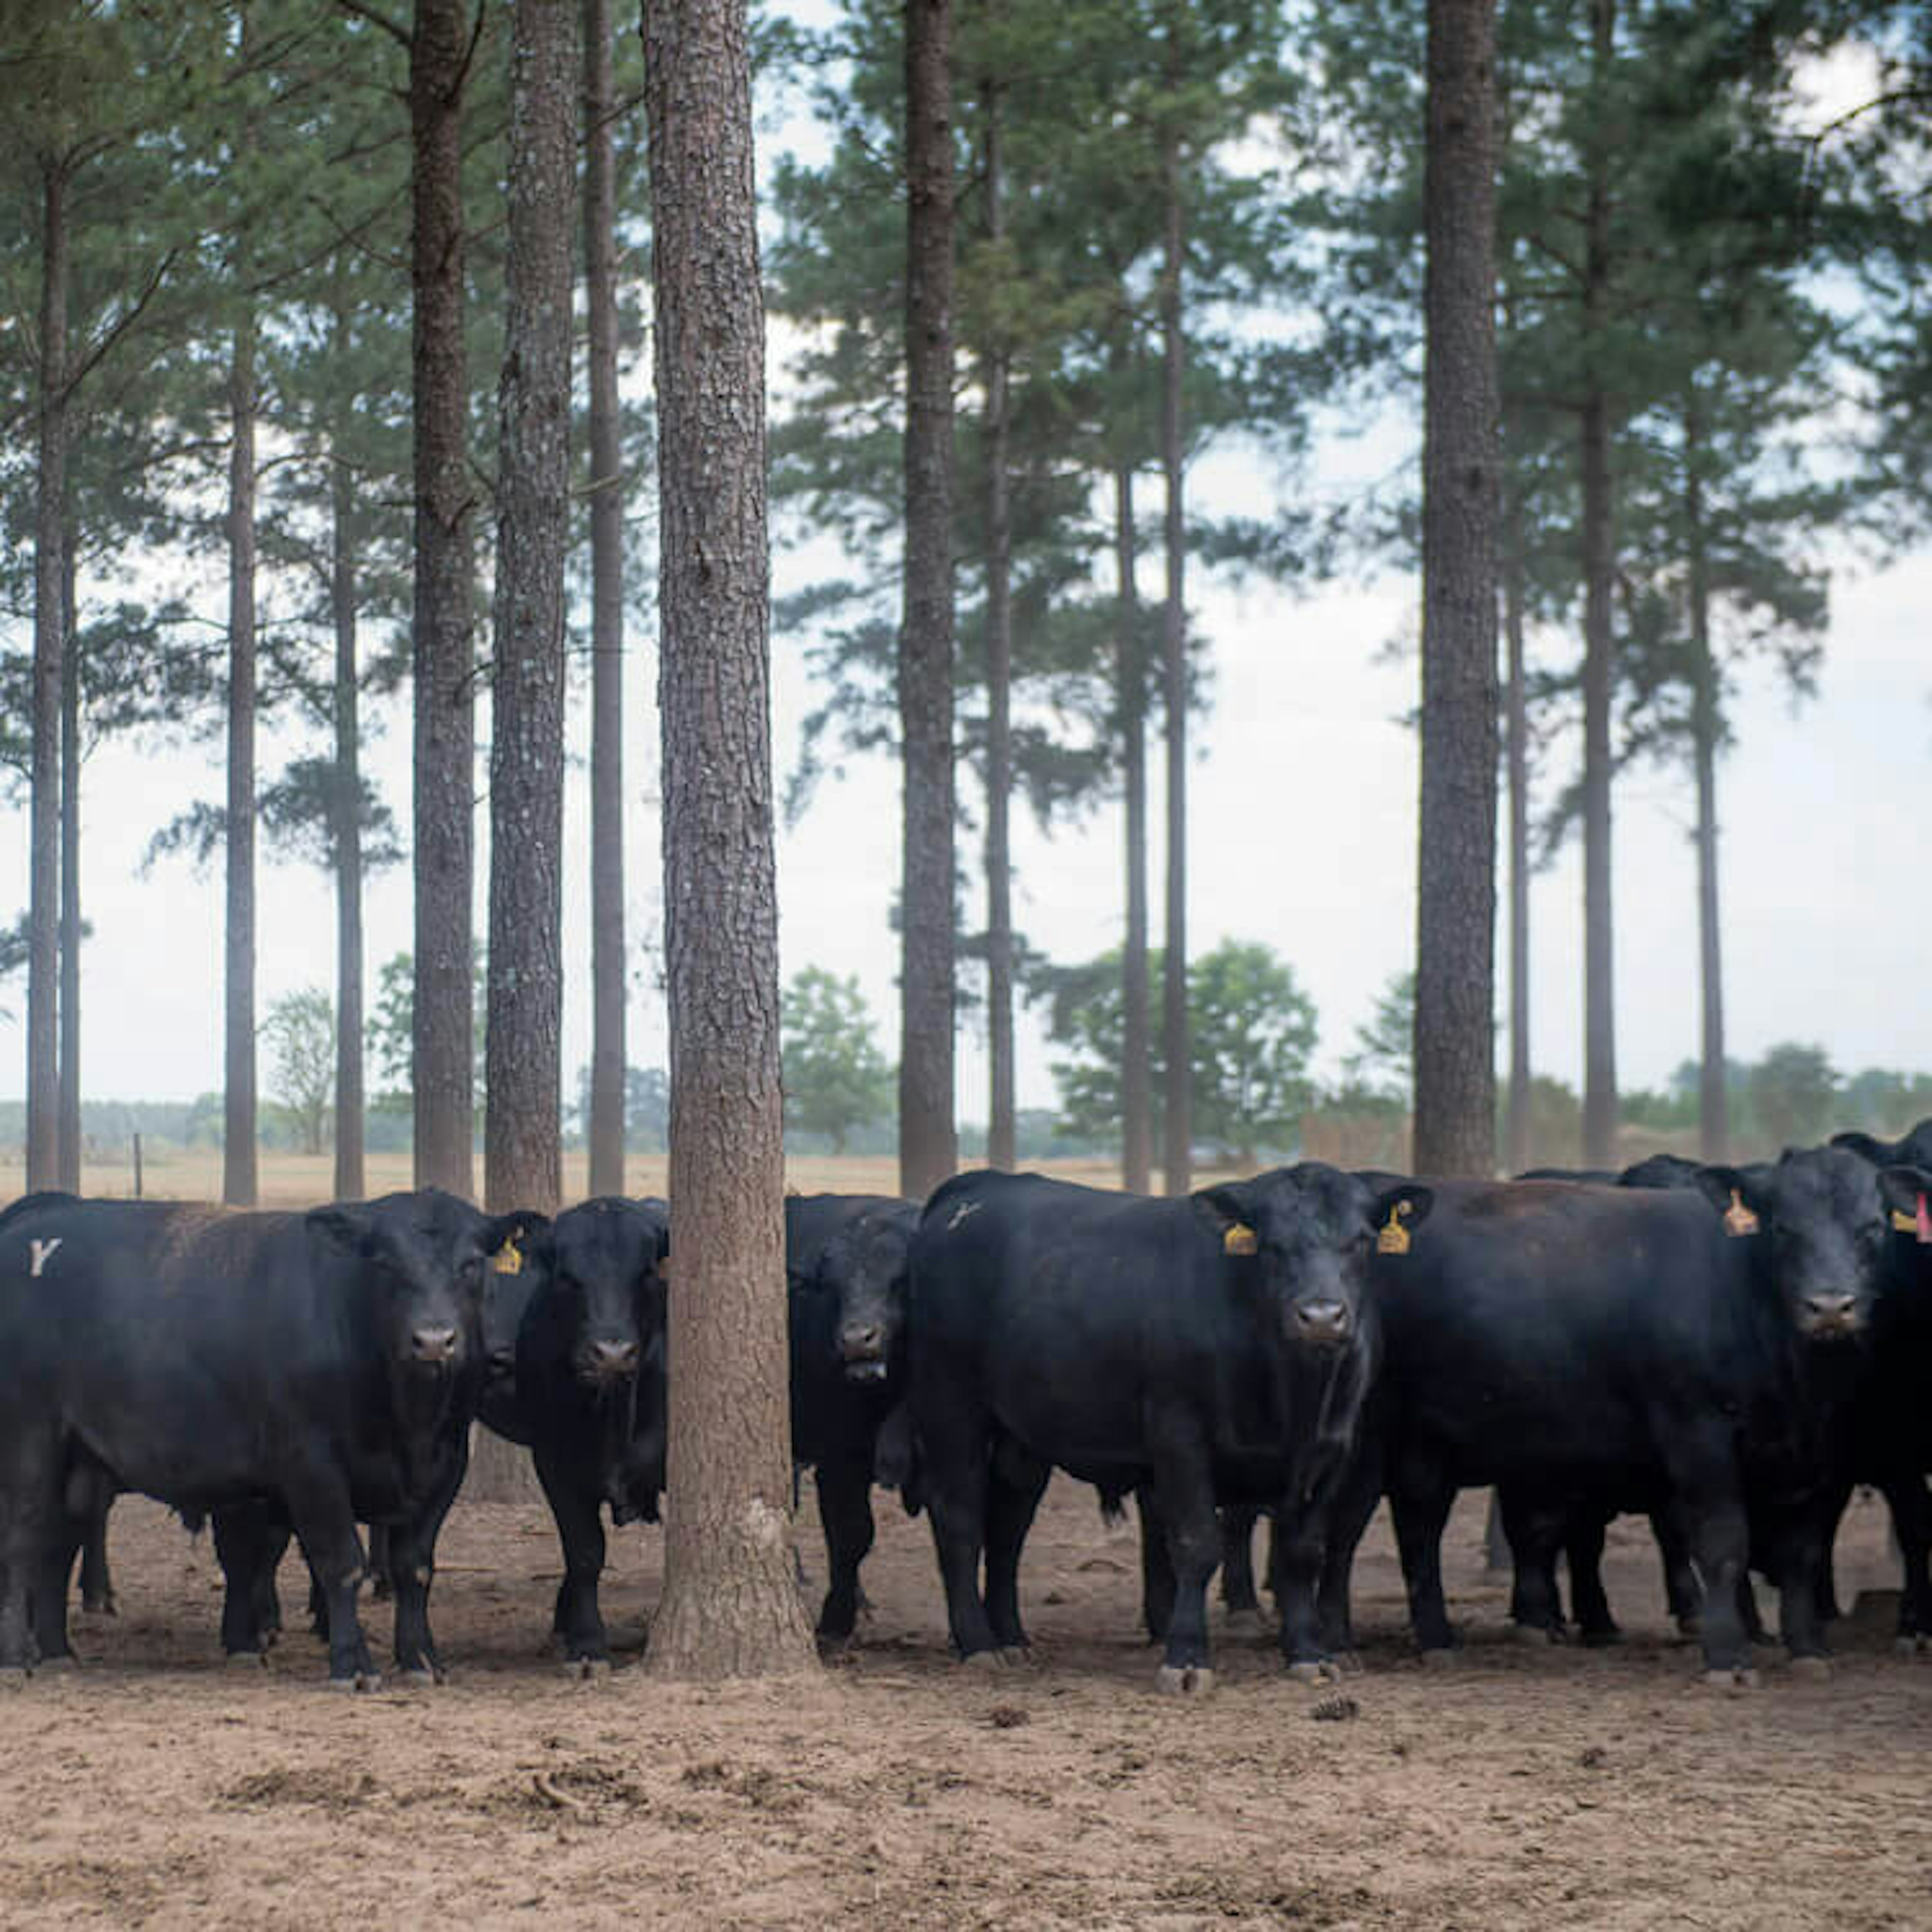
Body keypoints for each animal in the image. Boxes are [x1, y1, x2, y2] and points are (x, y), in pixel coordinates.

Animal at [0, 1182, 533, 1684]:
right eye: (384, 1262)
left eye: (471, 1264)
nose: (434, 1341)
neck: (407, 1423)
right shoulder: (311, 1467)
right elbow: (341, 1563)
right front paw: (352, 1663)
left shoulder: (446, 1466)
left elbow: (414, 1567)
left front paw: (421, 1659)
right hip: (29, 1442)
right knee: (22, 1541)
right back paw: (15, 1656)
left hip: (80, 1464)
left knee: (57, 1547)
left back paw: (57, 1651)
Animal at [784, 1190, 919, 1646]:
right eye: (832, 1286)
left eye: (900, 1280)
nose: (857, 1340)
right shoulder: (839, 1458)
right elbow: (852, 1532)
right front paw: (835, 1618)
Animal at [900, 1159, 1422, 1692]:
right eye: (1273, 1244)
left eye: (1361, 1240)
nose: (1321, 1316)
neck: (1290, 1391)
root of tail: (980, 1186)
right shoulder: (1180, 1437)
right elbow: (1197, 1545)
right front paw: (1187, 1658)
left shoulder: (1334, 1448)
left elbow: (1301, 1550)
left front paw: (1309, 1654)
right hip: (951, 1407)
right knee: (960, 1520)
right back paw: (978, 1643)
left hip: (1020, 1440)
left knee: (1008, 1528)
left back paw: (1011, 1639)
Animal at [1321, 1151, 1924, 1684]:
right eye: (1783, 1227)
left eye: (1872, 1229)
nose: (1830, 1306)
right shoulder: (1698, 1437)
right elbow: (1722, 1543)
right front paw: (1727, 1656)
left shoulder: (1812, 1454)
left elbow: (1803, 1552)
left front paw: (1807, 1650)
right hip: (1366, 1445)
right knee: (1345, 1532)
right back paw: (1336, 1643)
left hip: (1426, 1446)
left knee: (1419, 1531)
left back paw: (1437, 1640)